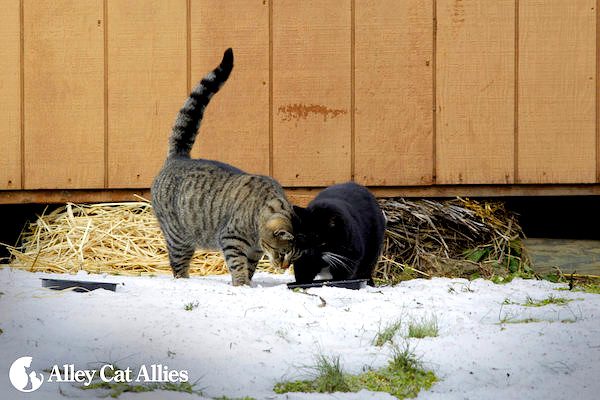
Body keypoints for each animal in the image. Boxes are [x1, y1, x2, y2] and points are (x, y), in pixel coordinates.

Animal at [151, 48, 296, 286]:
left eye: (295, 257)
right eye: (284, 253)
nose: (284, 267)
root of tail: (178, 157)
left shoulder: (254, 252)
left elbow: (250, 266)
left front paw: (248, 282)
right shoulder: (231, 239)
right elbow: (238, 264)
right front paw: (241, 284)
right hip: (178, 237)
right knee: (178, 264)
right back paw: (184, 280)